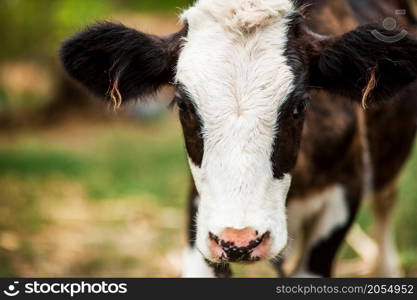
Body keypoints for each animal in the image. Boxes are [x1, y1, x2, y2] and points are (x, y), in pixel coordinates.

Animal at [59, 0, 416, 276]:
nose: (240, 241)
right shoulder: (201, 213)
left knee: (386, 202)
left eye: (299, 106)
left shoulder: (347, 190)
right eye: (183, 105)